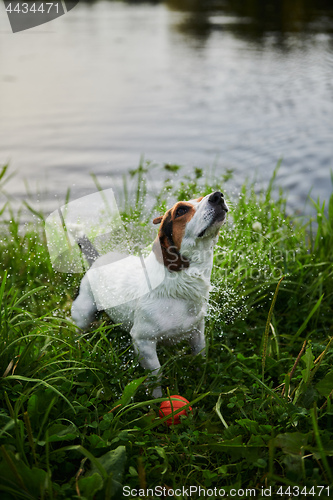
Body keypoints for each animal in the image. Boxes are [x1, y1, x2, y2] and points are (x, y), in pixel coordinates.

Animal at [71, 189, 228, 396]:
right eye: (181, 210)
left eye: (202, 198)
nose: (218, 195)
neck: (180, 286)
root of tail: (97, 259)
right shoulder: (143, 341)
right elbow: (156, 376)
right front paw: (157, 400)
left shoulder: (197, 331)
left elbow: (200, 356)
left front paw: (202, 382)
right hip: (83, 313)